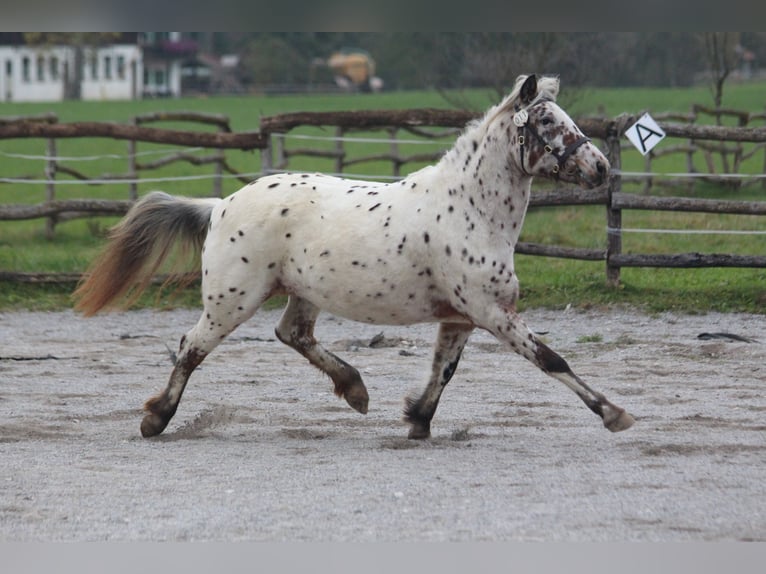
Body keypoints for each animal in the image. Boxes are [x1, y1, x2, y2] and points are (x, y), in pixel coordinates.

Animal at [73, 75, 636, 440]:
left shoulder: (462, 317)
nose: (600, 168)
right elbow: (551, 359)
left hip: (301, 293)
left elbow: (444, 371)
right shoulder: (492, 313)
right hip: (232, 299)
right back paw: (156, 420)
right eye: (545, 122)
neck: (470, 211)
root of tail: (220, 205)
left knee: (293, 334)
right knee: (191, 347)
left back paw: (356, 389)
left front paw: (417, 421)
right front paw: (613, 413)